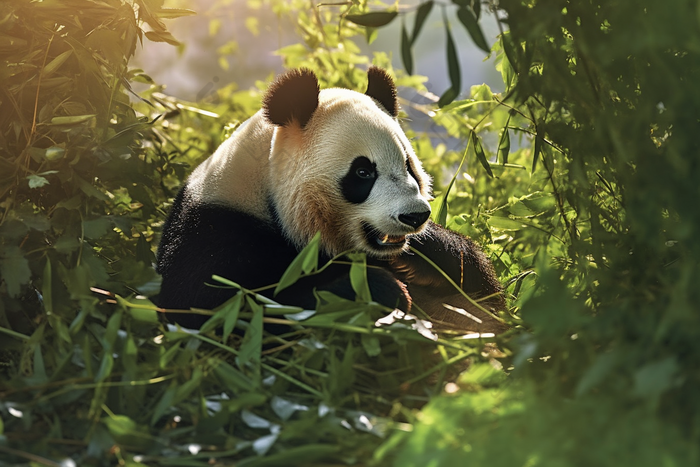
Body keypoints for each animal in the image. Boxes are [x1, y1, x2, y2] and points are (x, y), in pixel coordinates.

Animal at [156, 67, 506, 334]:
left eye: (409, 166)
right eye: (363, 172)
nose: (414, 216)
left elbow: (483, 297)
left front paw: (427, 261)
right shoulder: (215, 233)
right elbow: (219, 311)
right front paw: (377, 291)